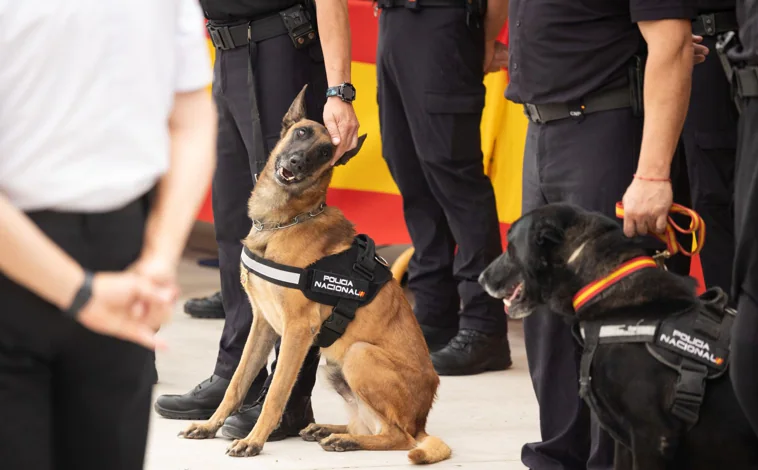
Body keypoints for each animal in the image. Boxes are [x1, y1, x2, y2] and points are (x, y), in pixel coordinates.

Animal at [178, 86, 452, 464]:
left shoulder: (297, 331)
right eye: (301, 133)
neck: (285, 221)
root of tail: (422, 417)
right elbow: (237, 381)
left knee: (399, 437)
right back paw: (329, 430)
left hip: (358, 355)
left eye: (325, 152)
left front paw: (254, 440)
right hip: (335, 367)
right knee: (368, 426)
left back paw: (347, 441)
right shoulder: (262, 324)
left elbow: (276, 392)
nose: (296, 162)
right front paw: (209, 425)